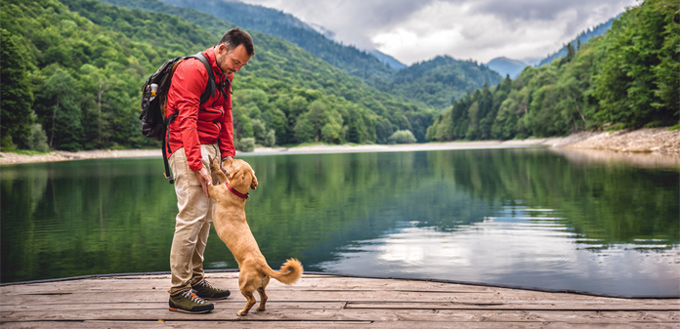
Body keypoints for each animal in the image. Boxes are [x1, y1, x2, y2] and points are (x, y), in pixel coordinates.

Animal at [206, 156, 304, 316]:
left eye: (233, 162)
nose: (225, 158)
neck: (236, 193)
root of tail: (262, 265)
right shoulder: (224, 182)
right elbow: (221, 175)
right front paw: (217, 166)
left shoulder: (213, 190)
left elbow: (208, 180)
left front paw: (212, 165)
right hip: (259, 285)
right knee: (264, 297)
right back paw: (260, 308)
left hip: (243, 283)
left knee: (251, 300)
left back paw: (242, 312)